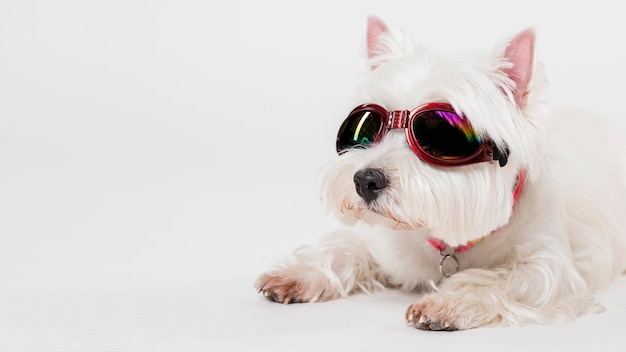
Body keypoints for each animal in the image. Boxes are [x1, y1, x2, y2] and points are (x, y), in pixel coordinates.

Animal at [254, 16, 624, 330]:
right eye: (365, 126)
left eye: (440, 134)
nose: (365, 181)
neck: (451, 239)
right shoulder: (386, 244)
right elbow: (345, 246)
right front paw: (298, 273)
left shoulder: (550, 266)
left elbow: (499, 277)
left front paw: (447, 302)